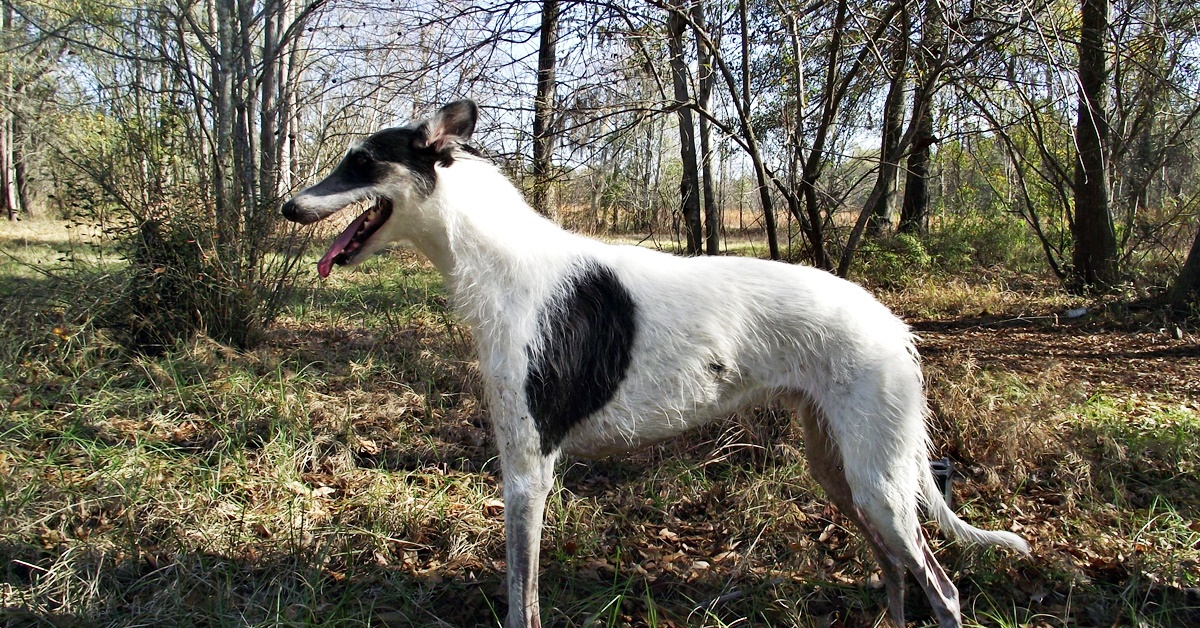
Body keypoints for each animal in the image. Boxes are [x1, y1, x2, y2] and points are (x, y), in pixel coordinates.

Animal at [278, 100, 1022, 628]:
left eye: (362, 161)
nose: (287, 206)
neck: (499, 262)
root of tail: (892, 324)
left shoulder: (527, 471)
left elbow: (523, 602)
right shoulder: (523, 469)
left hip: (880, 483)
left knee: (944, 590)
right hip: (843, 473)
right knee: (895, 574)